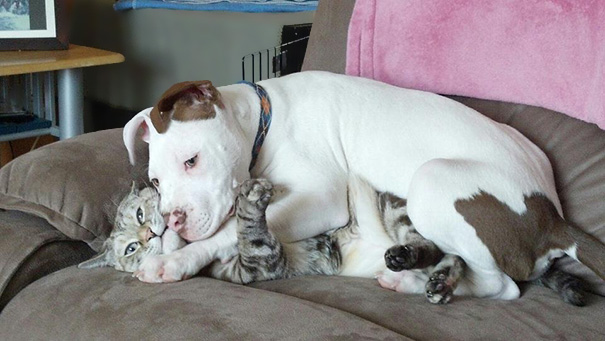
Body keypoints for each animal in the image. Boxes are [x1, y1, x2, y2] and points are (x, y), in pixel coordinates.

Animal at [122, 71, 604, 298]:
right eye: (155, 181)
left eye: (192, 160)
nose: (174, 220)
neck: (263, 117)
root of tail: (552, 215)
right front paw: (168, 245)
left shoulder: (321, 199)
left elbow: (228, 230)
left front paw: (173, 260)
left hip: (432, 179)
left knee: (500, 285)